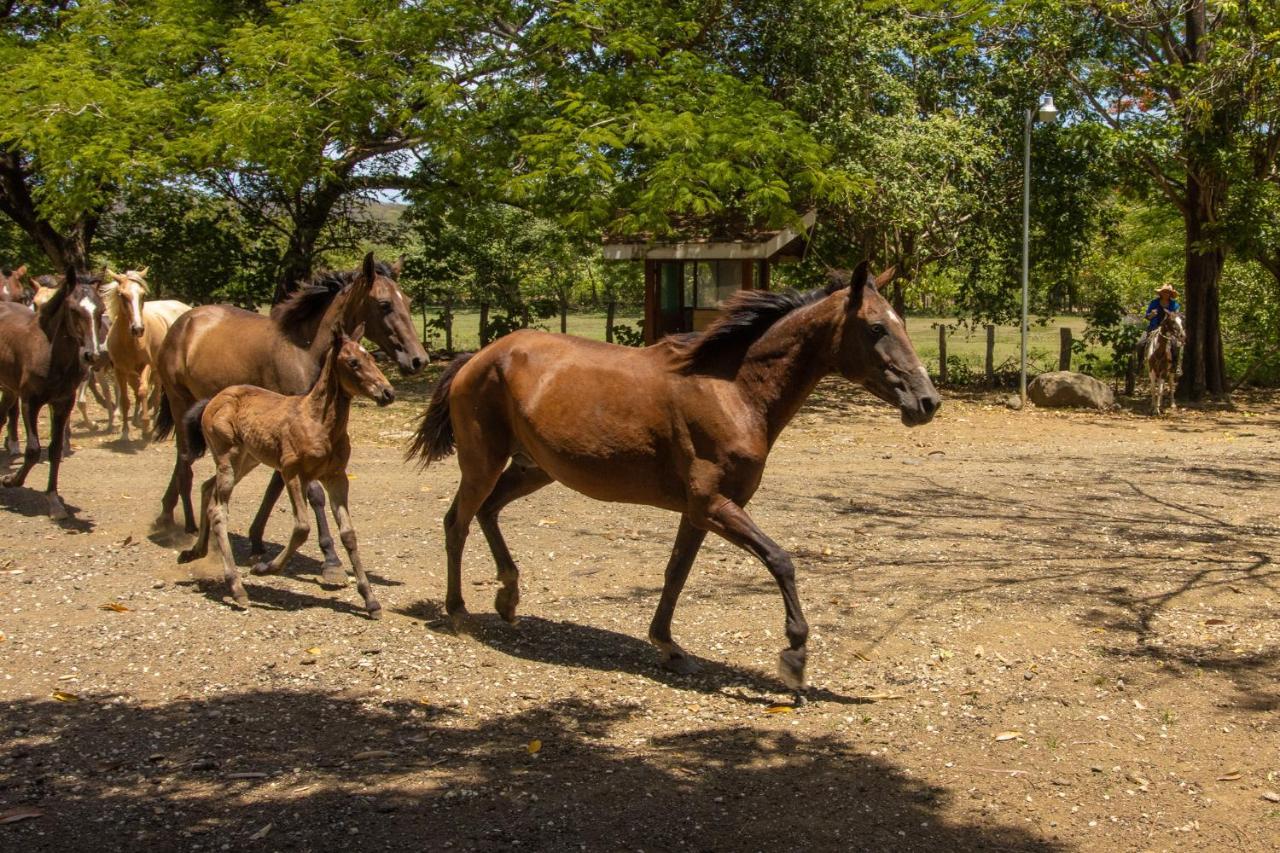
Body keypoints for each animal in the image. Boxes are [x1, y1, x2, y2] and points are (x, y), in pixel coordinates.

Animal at [0, 268, 106, 514]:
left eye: (102, 310)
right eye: (74, 310)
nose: (92, 355)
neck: (50, 353)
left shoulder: (62, 403)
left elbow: (55, 449)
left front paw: (54, 501)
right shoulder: (30, 401)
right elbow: (33, 450)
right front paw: (10, 480)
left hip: (9, 389)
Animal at [101, 266, 190, 438]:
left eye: (143, 295)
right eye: (122, 295)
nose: (138, 329)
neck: (128, 343)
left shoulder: (146, 366)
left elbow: (143, 391)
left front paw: (146, 425)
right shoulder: (120, 370)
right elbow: (125, 400)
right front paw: (125, 433)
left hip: (159, 371)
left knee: (156, 395)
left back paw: (154, 421)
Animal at [152, 252, 424, 584]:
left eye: (408, 302)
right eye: (384, 304)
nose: (418, 360)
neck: (306, 353)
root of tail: (184, 320)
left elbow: (276, 485)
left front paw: (257, 539)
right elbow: (314, 493)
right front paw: (331, 560)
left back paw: (174, 518)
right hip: (180, 403)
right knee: (184, 462)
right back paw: (183, 527)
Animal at [177, 322, 391, 614]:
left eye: (373, 358)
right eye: (353, 362)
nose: (388, 393)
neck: (320, 422)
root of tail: (212, 400)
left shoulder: (336, 477)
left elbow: (348, 534)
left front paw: (370, 599)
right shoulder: (292, 473)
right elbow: (302, 528)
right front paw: (265, 568)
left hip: (247, 459)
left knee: (207, 487)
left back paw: (195, 551)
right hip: (228, 457)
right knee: (219, 510)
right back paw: (236, 588)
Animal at [409, 263, 942, 691]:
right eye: (876, 327)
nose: (927, 402)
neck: (733, 392)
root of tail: (479, 357)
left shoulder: (699, 511)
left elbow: (675, 574)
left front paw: (667, 646)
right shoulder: (714, 505)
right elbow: (780, 560)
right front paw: (795, 655)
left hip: (531, 468)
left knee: (488, 512)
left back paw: (508, 597)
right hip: (483, 463)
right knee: (457, 522)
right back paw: (459, 612)